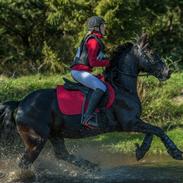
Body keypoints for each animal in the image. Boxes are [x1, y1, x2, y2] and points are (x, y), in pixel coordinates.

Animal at [0, 33, 182, 171]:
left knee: (62, 154)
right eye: (151, 54)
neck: (121, 86)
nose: (168, 72)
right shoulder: (130, 122)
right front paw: (176, 152)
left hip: (54, 135)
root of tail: (21, 103)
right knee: (25, 163)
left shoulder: (134, 122)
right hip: (36, 141)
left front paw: (141, 151)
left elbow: (151, 132)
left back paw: (91, 166)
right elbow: (158, 130)